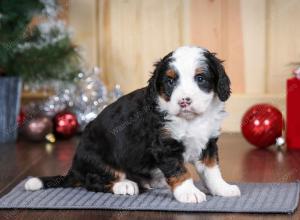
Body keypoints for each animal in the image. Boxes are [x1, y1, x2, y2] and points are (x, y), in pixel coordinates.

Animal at [25, 46, 241, 203]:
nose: (184, 101)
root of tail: (74, 168)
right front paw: (189, 192)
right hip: (97, 157)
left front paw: (222, 188)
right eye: (170, 82)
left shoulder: (208, 143)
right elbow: (180, 170)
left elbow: (212, 170)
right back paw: (125, 185)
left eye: (200, 78)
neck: (190, 119)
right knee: (94, 181)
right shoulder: (164, 145)